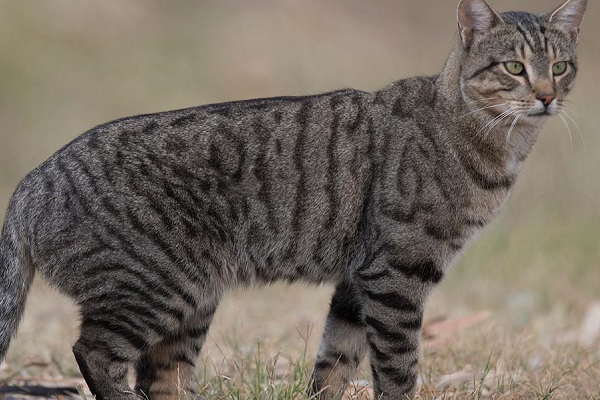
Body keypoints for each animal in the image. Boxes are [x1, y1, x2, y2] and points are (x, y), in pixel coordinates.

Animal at [0, 0, 584, 398]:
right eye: (513, 67)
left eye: (560, 67)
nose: (546, 96)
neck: (496, 144)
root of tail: (30, 182)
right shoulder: (397, 270)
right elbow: (398, 366)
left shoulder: (357, 279)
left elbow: (335, 361)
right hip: (153, 286)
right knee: (95, 352)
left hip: (191, 299)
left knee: (159, 374)